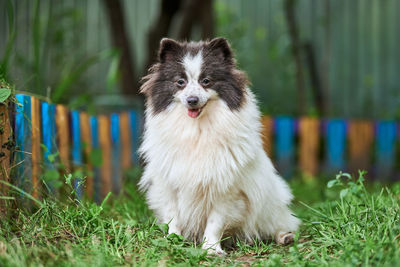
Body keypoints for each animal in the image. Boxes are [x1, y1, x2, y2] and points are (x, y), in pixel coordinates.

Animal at [139, 37, 298, 255]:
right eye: (180, 82)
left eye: (206, 81)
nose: (192, 100)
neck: (197, 130)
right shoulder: (169, 182)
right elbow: (173, 215)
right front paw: (173, 240)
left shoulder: (226, 188)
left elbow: (215, 222)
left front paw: (211, 248)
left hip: (271, 200)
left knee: (277, 223)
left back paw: (284, 236)